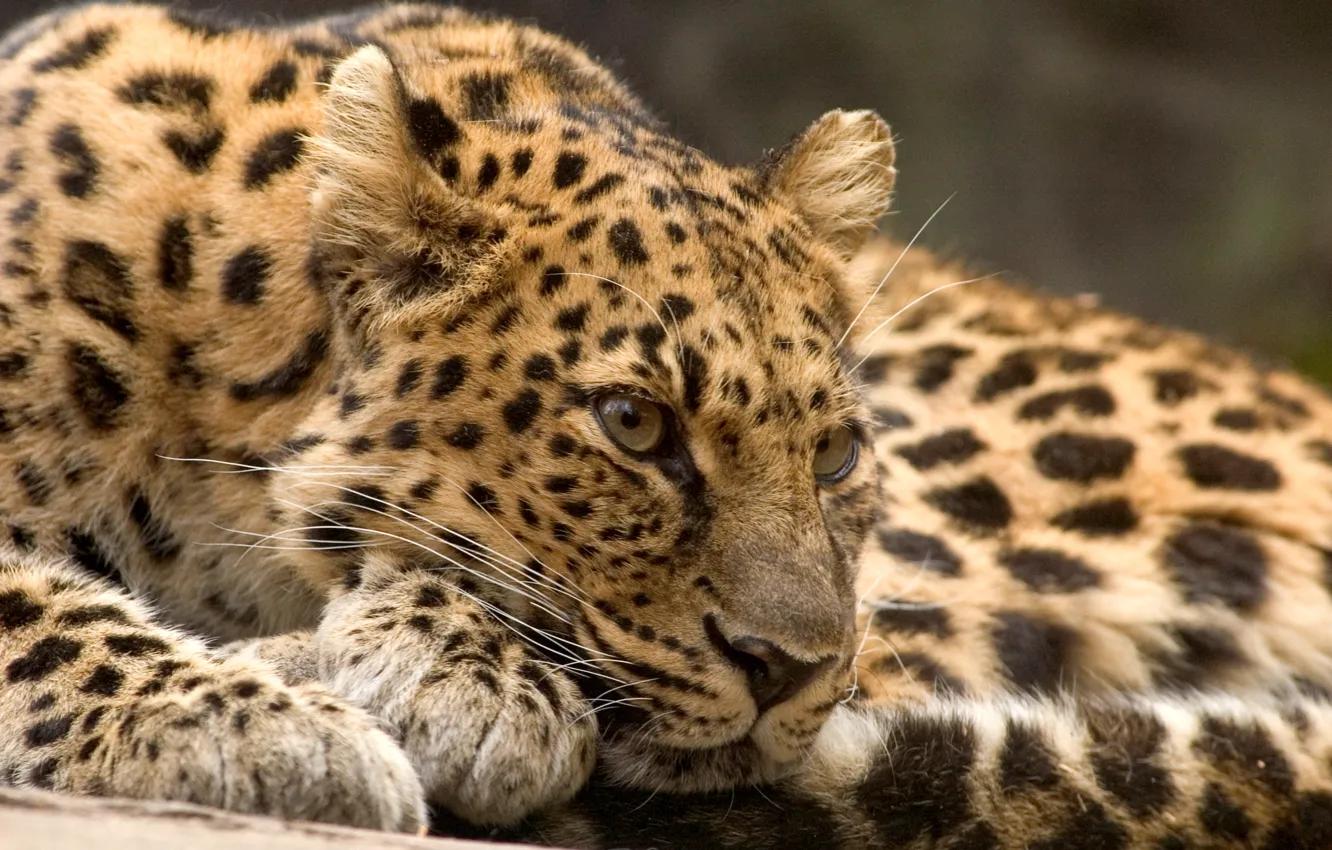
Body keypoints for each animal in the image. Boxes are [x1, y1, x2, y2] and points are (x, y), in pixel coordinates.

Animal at [4, 5, 1332, 850]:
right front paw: (262, 725)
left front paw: (440, 677)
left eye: (835, 451)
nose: (790, 669)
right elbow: (36, 605)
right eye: (634, 425)